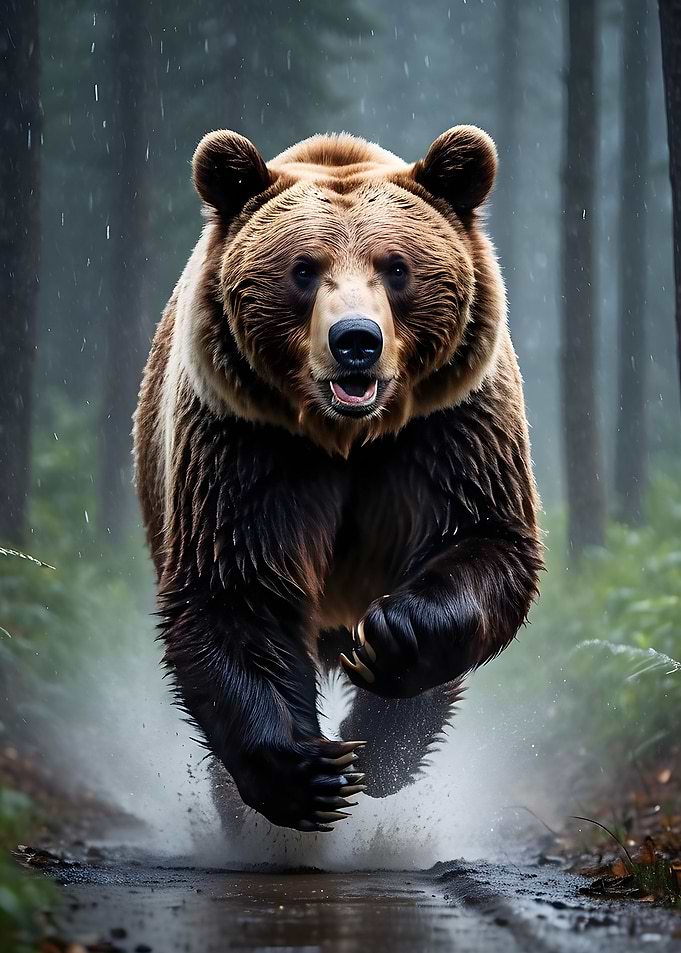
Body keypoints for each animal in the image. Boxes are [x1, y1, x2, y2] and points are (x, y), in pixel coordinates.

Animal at [133, 125, 543, 833]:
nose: (357, 340)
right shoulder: (245, 445)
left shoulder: (449, 429)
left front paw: (392, 651)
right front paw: (307, 773)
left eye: (396, 267)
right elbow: (234, 587)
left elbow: (484, 538)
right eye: (304, 269)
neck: (347, 436)